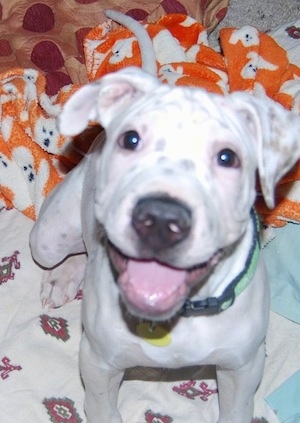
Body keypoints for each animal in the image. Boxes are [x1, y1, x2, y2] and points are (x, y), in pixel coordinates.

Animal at [29, 68, 300, 422]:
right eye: (131, 140)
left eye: (227, 157)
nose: (160, 219)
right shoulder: (98, 363)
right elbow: (102, 406)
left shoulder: (243, 368)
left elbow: (236, 409)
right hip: (47, 240)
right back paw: (62, 276)